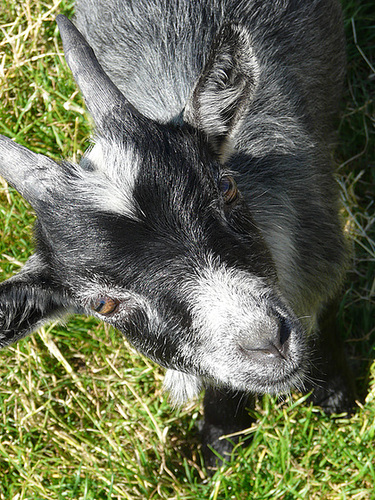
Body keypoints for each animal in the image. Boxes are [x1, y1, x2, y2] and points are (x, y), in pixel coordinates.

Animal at [0, 0, 356, 466]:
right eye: (103, 304)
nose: (267, 341)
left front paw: (334, 393)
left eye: (225, 187)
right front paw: (221, 443)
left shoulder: (320, 243)